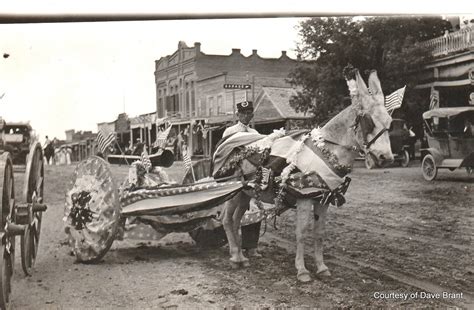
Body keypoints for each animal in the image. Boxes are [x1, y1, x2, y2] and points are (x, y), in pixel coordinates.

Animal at [211, 66, 392, 282]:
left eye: (390, 121)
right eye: (369, 121)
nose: (386, 157)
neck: (325, 151)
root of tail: (229, 139)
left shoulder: (323, 199)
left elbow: (319, 234)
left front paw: (321, 268)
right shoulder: (304, 198)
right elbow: (302, 232)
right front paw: (302, 270)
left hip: (246, 194)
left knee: (237, 219)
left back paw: (240, 255)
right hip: (233, 192)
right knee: (227, 219)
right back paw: (236, 257)